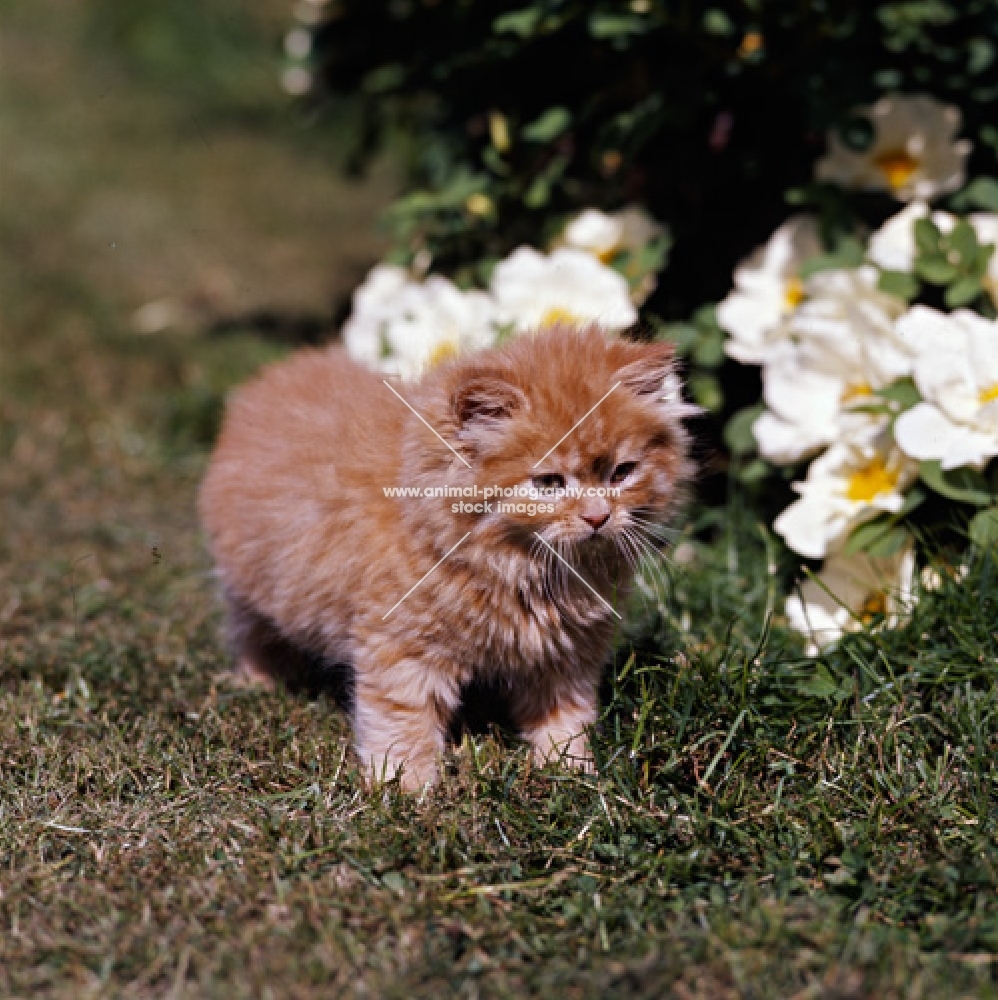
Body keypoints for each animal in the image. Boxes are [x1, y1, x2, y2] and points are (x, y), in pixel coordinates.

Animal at [199, 324, 692, 792]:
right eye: (549, 483)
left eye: (622, 473)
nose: (597, 517)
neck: (519, 567)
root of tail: (273, 378)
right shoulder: (400, 647)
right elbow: (402, 723)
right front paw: (407, 792)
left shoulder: (567, 654)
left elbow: (566, 716)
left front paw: (571, 774)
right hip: (249, 584)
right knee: (250, 634)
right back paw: (258, 684)